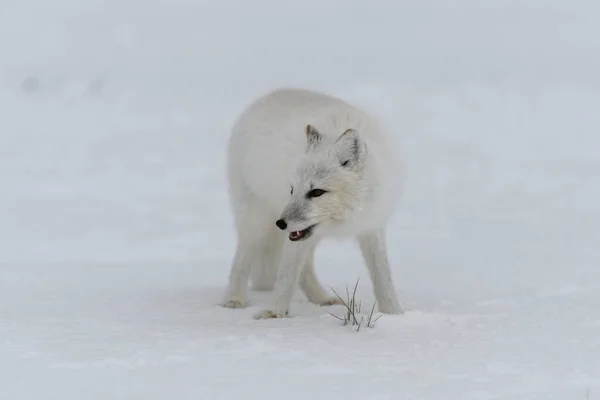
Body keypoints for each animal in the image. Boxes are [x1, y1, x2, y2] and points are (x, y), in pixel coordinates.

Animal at [224, 86, 404, 318]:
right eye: (292, 190)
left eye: (316, 192)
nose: (280, 224)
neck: (349, 216)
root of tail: (266, 97)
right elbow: (286, 275)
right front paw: (274, 313)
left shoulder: (372, 226)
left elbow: (383, 276)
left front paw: (395, 313)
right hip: (257, 222)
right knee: (242, 259)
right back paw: (234, 300)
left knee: (306, 268)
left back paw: (321, 298)